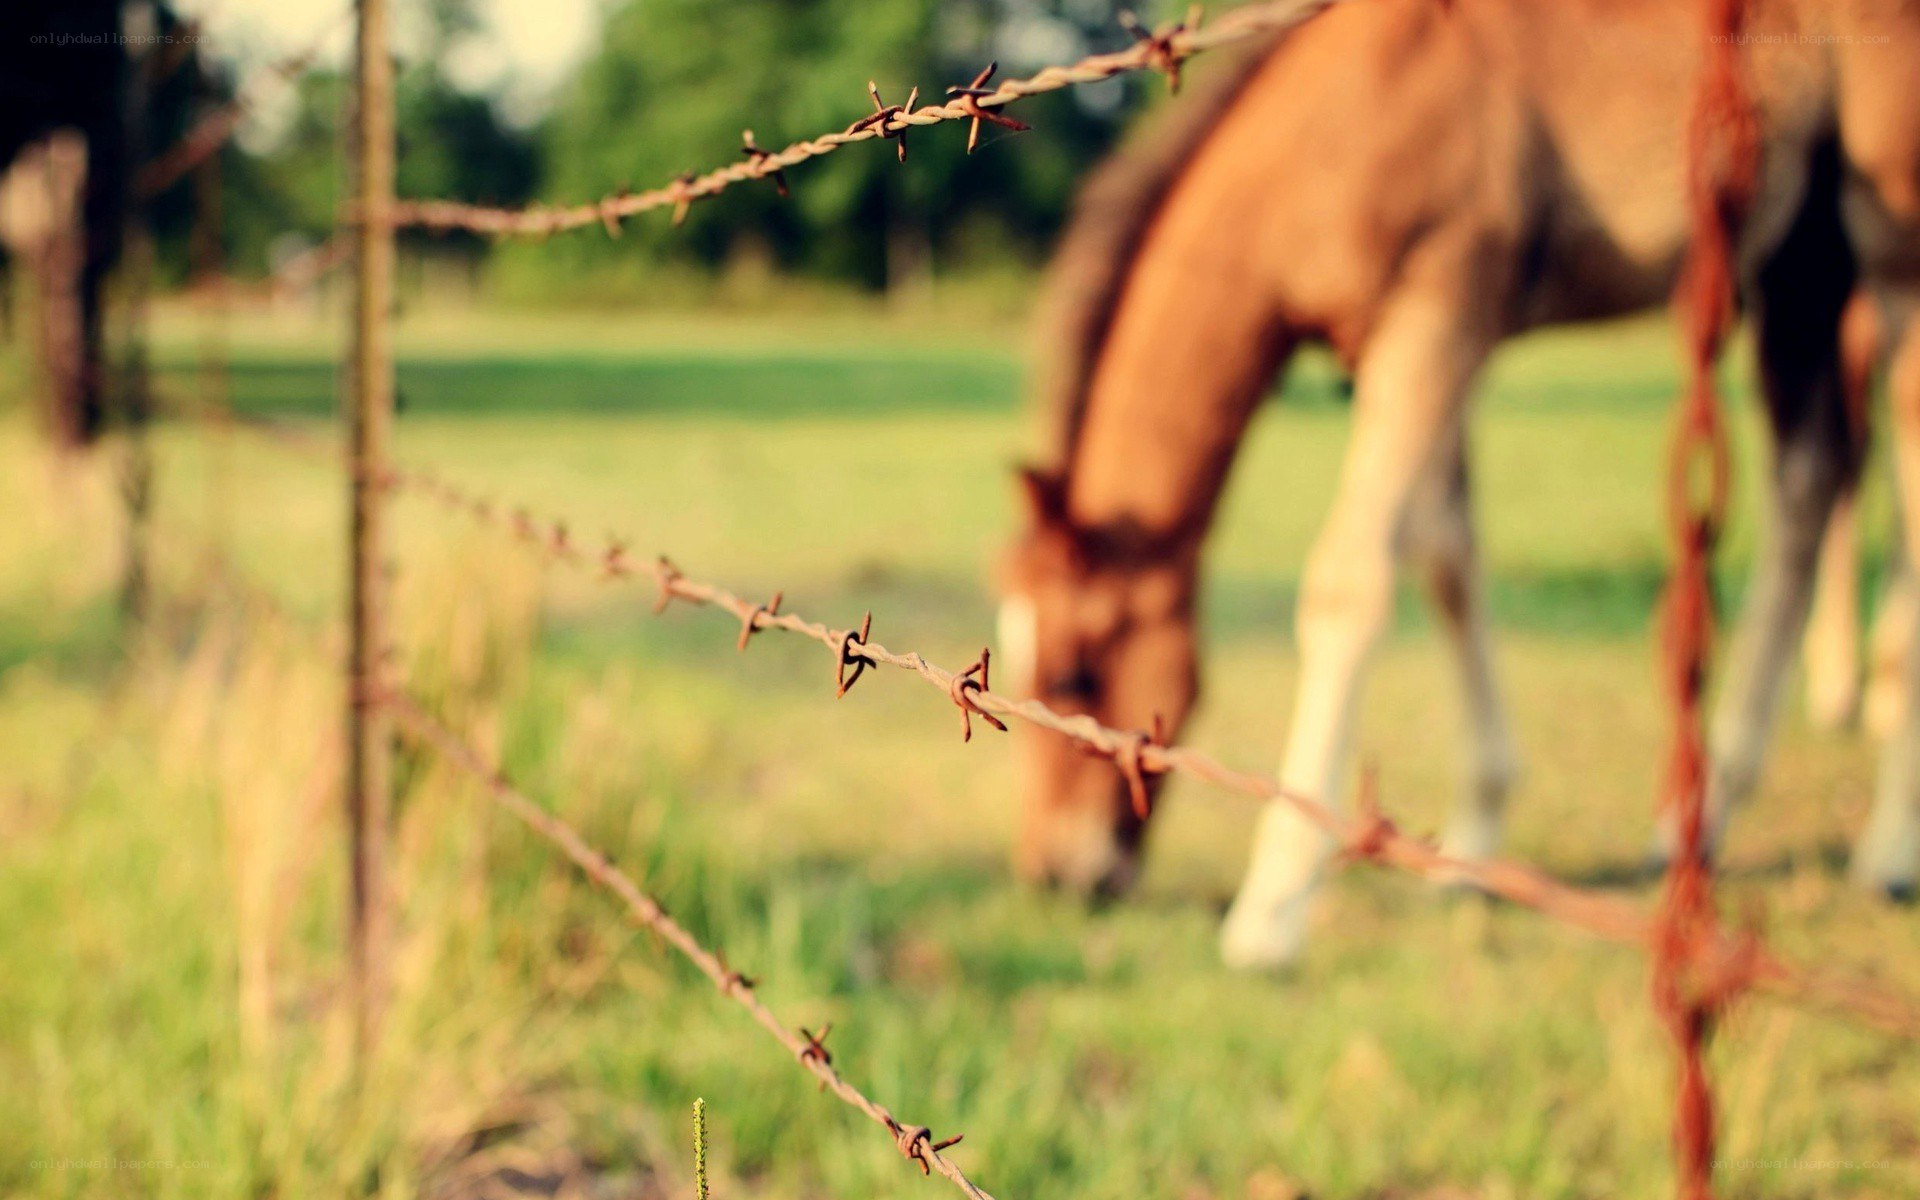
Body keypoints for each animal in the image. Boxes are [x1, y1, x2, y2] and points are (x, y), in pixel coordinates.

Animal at [995, 0, 1920, 969]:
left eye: (1075, 674)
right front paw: (1470, 848)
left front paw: (1272, 908)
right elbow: (1445, 557)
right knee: (1809, 479)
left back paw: (1888, 849)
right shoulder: (1396, 350)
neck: (1337, 128)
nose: (1053, 873)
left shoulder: (1437, 316)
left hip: (1888, 238)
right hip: (1799, 260)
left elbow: (1351, 583)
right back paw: (1695, 825)